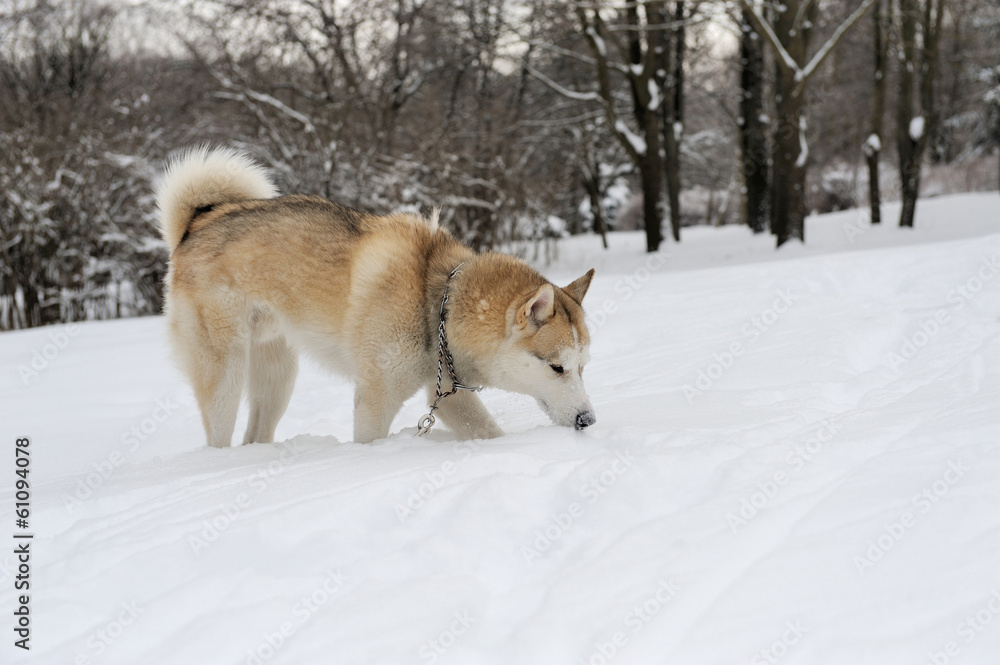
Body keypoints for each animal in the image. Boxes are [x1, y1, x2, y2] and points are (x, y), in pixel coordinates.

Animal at [156, 147, 592, 446]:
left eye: (583, 367)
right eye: (557, 367)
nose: (588, 421)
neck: (439, 305)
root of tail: (196, 225)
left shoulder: (447, 396)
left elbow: (485, 430)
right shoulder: (375, 399)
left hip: (278, 378)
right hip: (226, 374)